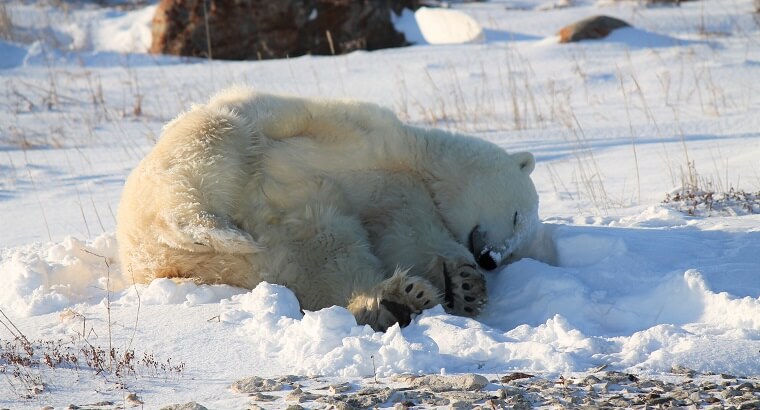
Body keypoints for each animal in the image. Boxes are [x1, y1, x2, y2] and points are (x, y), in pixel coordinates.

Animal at [116, 88, 536, 332]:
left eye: (517, 249)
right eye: (517, 215)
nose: (490, 259)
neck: (415, 162)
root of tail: (153, 264)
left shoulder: (397, 195)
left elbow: (405, 237)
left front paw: (463, 285)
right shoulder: (360, 131)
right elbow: (270, 118)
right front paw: (463, 281)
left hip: (280, 246)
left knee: (326, 260)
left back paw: (396, 301)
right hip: (176, 184)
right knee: (203, 157)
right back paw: (213, 230)